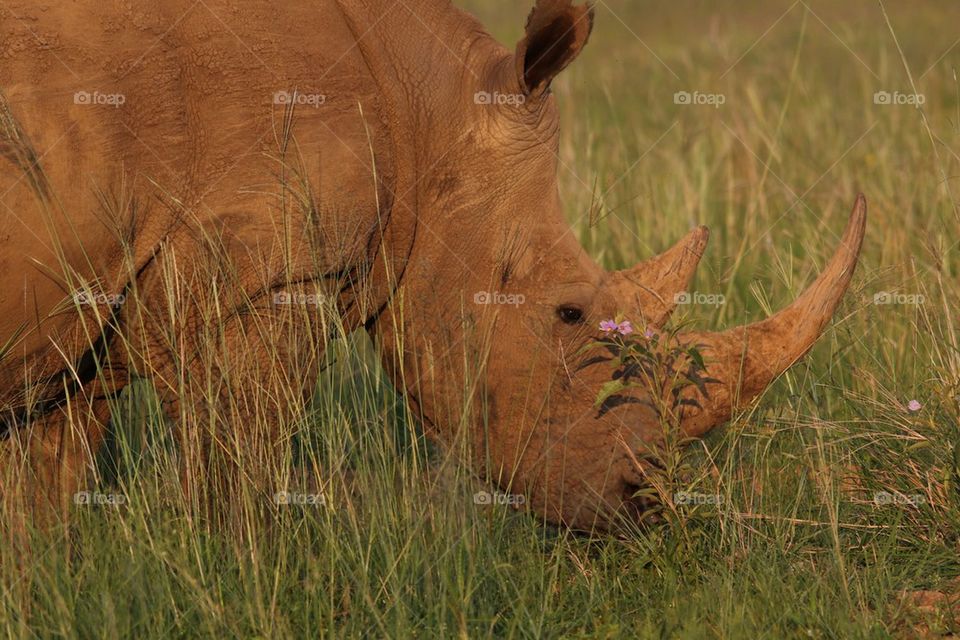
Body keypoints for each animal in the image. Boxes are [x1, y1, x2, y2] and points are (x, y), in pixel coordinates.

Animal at [0, 0, 865, 530]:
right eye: (569, 313)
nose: (645, 499)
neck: (426, 107)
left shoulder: (86, 303)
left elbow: (44, 491)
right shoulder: (263, 281)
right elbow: (236, 473)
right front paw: (243, 578)